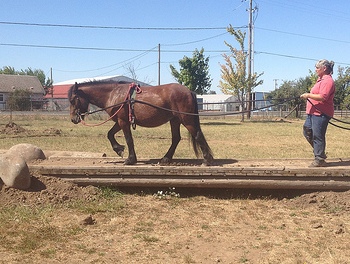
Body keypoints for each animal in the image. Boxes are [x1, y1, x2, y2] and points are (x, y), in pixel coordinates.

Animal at [66, 80, 212, 165]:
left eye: (73, 100)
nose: (73, 119)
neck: (113, 94)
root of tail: (189, 91)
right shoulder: (119, 121)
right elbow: (110, 134)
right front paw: (119, 149)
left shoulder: (123, 122)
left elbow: (129, 140)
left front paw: (130, 159)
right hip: (175, 120)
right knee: (176, 138)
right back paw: (166, 158)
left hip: (186, 119)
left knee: (197, 135)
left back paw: (207, 159)